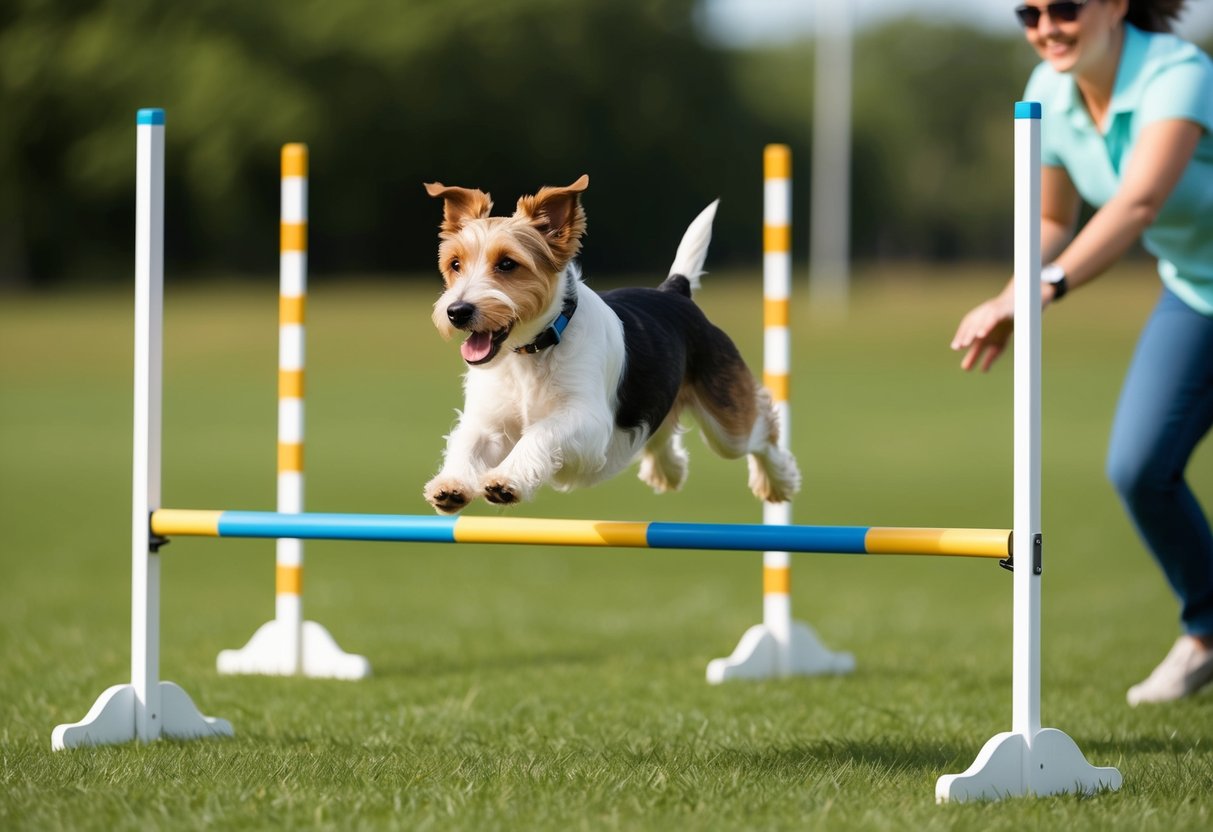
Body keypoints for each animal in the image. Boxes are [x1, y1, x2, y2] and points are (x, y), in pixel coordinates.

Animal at [422, 175, 800, 514]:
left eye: (507, 264)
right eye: (455, 264)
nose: (457, 311)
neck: (532, 350)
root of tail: (674, 291)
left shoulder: (588, 423)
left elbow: (541, 432)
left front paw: (505, 480)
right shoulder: (489, 422)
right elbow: (467, 442)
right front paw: (450, 485)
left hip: (727, 423)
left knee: (761, 432)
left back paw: (778, 480)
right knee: (661, 431)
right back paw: (668, 470)